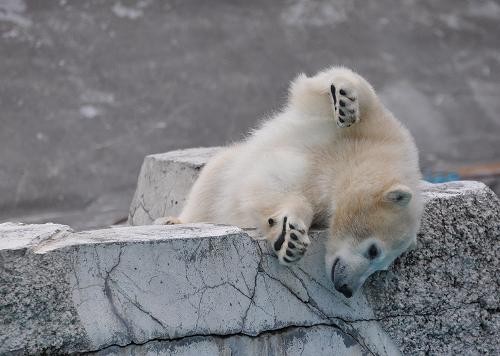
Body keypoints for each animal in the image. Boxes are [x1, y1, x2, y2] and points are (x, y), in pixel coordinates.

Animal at [156, 67, 422, 298]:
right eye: (374, 250)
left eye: (382, 266)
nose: (347, 289)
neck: (347, 164)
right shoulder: (374, 134)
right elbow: (332, 86)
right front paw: (345, 100)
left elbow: (276, 196)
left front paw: (290, 240)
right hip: (226, 170)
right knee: (209, 184)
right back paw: (171, 221)